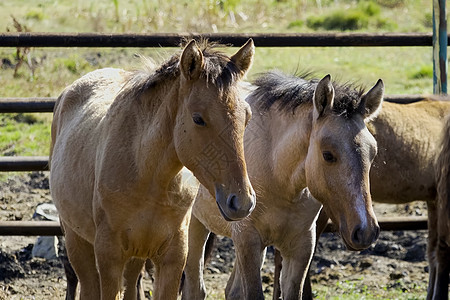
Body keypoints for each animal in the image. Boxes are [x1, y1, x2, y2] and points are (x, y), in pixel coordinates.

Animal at [49, 39, 256, 300]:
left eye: (247, 116)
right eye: (198, 118)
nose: (242, 202)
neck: (147, 175)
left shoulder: (172, 258)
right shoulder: (109, 257)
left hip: (135, 257)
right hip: (76, 240)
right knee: (88, 285)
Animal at [182, 71, 384, 300]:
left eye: (373, 153)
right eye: (328, 155)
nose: (365, 231)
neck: (277, 175)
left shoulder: (300, 248)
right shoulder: (248, 241)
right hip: (194, 225)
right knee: (194, 287)